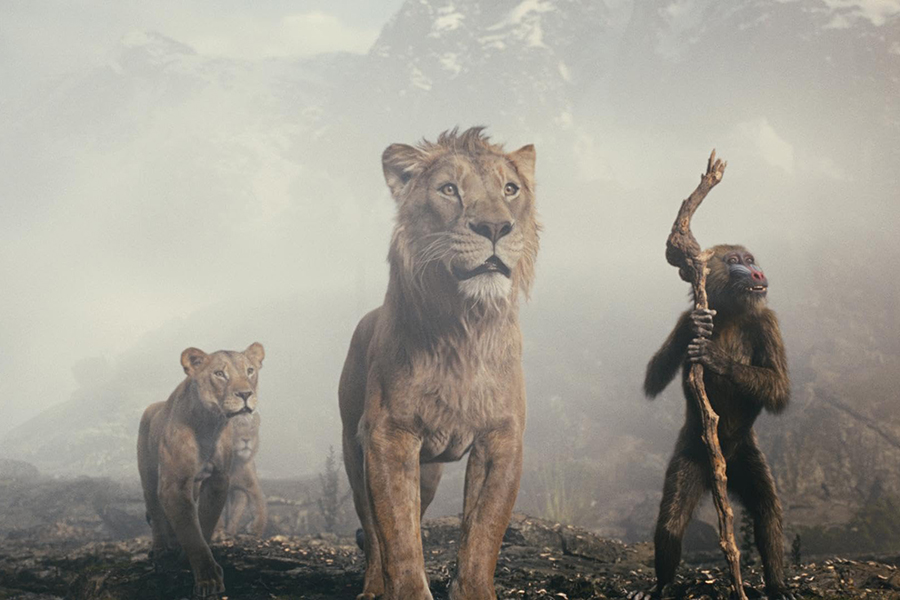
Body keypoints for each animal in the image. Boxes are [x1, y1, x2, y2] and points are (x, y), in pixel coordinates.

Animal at [137, 342, 264, 598]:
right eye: (220, 374)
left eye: (250, 371)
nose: (245, 394)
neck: (209, 425)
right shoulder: (173, 485)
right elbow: (190, 531)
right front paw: (208, 579)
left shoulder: (218, 480)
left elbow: (204, 523)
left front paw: (189, 560)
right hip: (148, 476)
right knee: (155, 511)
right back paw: (161, 550)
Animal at [339, 127, 539, 600]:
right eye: (449, 190)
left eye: (511, 189)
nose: (494, 227)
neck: (465, 326)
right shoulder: (389, 436)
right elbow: (398, 536)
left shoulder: (502, 438)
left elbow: (483, 533)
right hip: (355, 451)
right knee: (373, 532)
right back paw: (373, 587)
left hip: (428, 472)